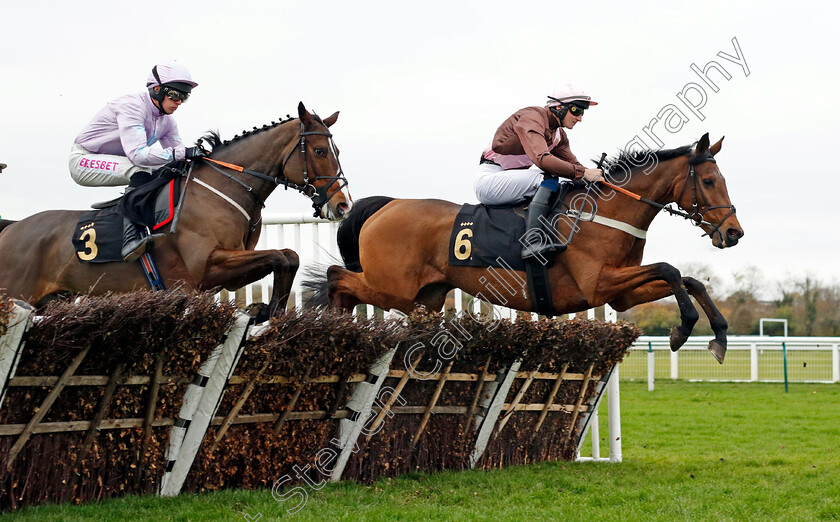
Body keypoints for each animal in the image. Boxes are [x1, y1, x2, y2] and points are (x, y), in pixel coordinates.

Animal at [0, 101, 350, 316]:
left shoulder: (229, 276)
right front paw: (264, 310)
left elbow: (289, 257)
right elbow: (282, 255)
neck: (222, 188)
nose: (342, 204)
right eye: (320, 150)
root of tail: (11, 229)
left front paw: (268, 310)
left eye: (337, 149)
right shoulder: (206, 268)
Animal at [306, 134, 740, 360]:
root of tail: (386, 204)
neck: (604, 211)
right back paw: (332, 326)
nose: (734, 233)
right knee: (336, 277)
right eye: (709, 181)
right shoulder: (597, 284)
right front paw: (683, 329)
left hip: (424, 298)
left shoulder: (620, 295)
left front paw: (718, 336)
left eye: (722, 179)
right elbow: (670, 269)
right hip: (391, 288)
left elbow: (690, 280)